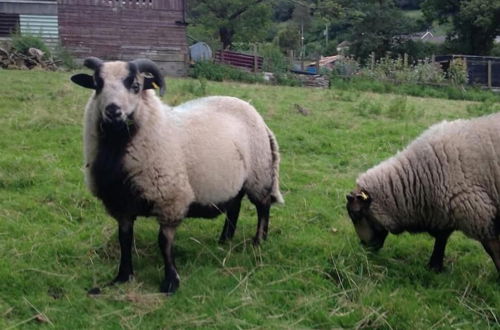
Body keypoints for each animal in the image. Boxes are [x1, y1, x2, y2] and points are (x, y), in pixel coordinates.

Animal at [70, 56, 284, 294]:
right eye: (97, 85)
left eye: (135, 86)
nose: (113, 111)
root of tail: (250, 108)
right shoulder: (120, 204)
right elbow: (124, 239)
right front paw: (123, 277)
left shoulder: (171, 200)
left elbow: (164, 242)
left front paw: (170, 282)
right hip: (234, 178)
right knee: (234, 205)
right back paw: (225, 239)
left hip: (259, 174)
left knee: (263, 207)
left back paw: (258, 241)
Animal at [348, 114, 500, 274]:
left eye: (356, 214)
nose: (364, 247)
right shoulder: (446, 211)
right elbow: (441, 239)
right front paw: (434, 267)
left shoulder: (478, 213)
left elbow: (493, 250)